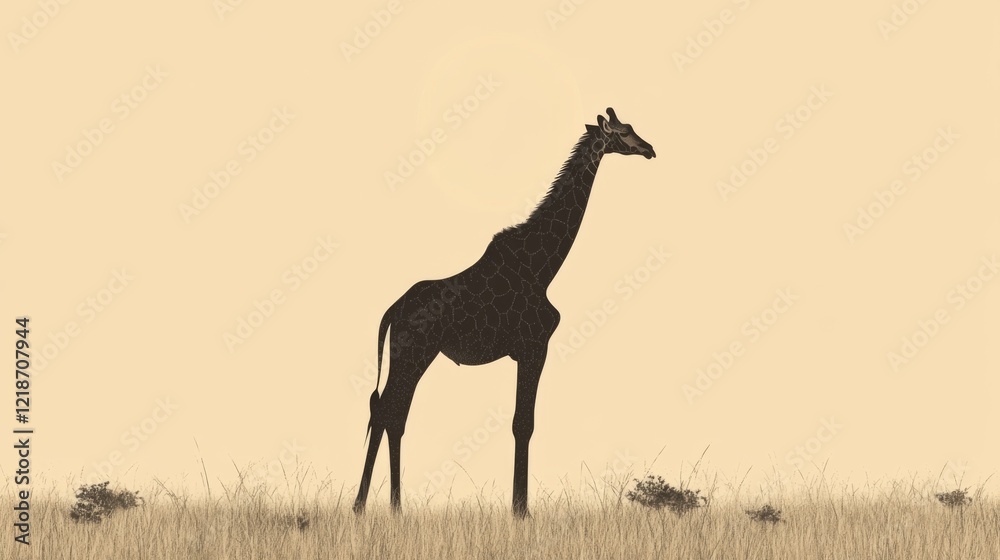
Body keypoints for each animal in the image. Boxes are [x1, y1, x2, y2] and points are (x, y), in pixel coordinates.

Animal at [353, 108, 656, 518]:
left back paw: (388, 508)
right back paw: (370, 506)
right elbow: (523, 424)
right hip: (413, 354)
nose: (650, 149)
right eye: (623, 133)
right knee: (387, 412)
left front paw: (518, 508)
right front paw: (521, 511)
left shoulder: (527, 350)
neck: (544, 266)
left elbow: (520, 423)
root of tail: (390, 312)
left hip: (412, 356)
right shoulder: (534, 346)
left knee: (390, 414)